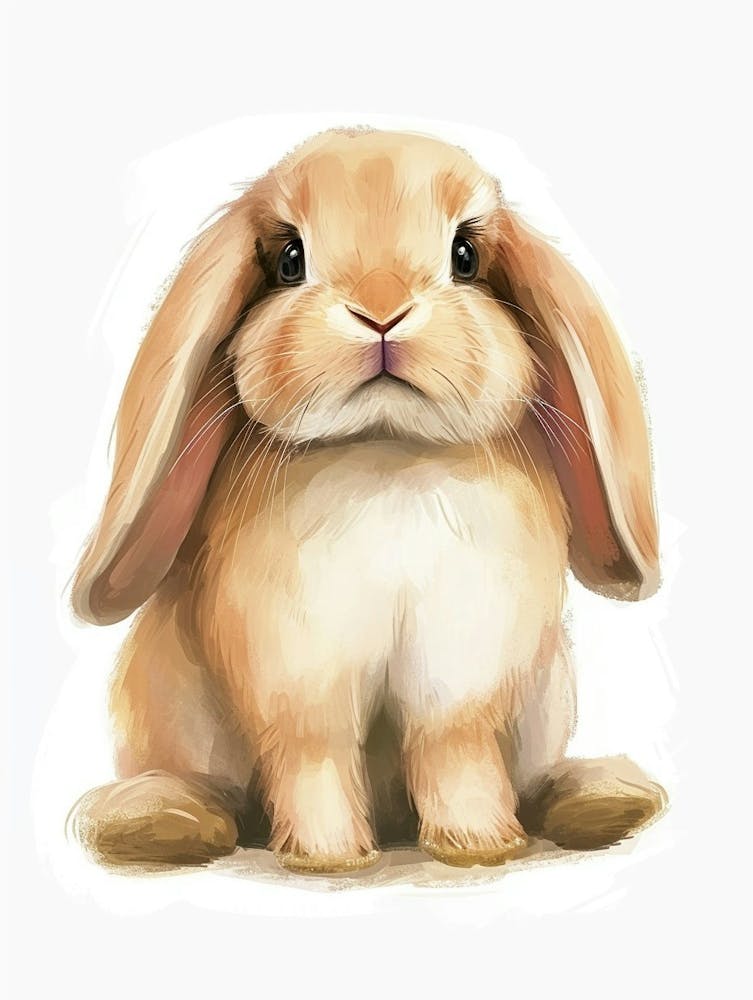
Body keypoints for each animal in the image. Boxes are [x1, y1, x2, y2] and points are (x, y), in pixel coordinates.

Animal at [69, 127, 667, 874]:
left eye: (465, 255)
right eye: (289, 259)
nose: (381, 312)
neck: (386, 451)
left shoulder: (461, 673)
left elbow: (454, 751)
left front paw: (479, 847)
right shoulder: (299, 678)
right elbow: (314, 756)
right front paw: (328, 859)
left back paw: (605, 801)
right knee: (206, 788)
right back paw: (164, 822)